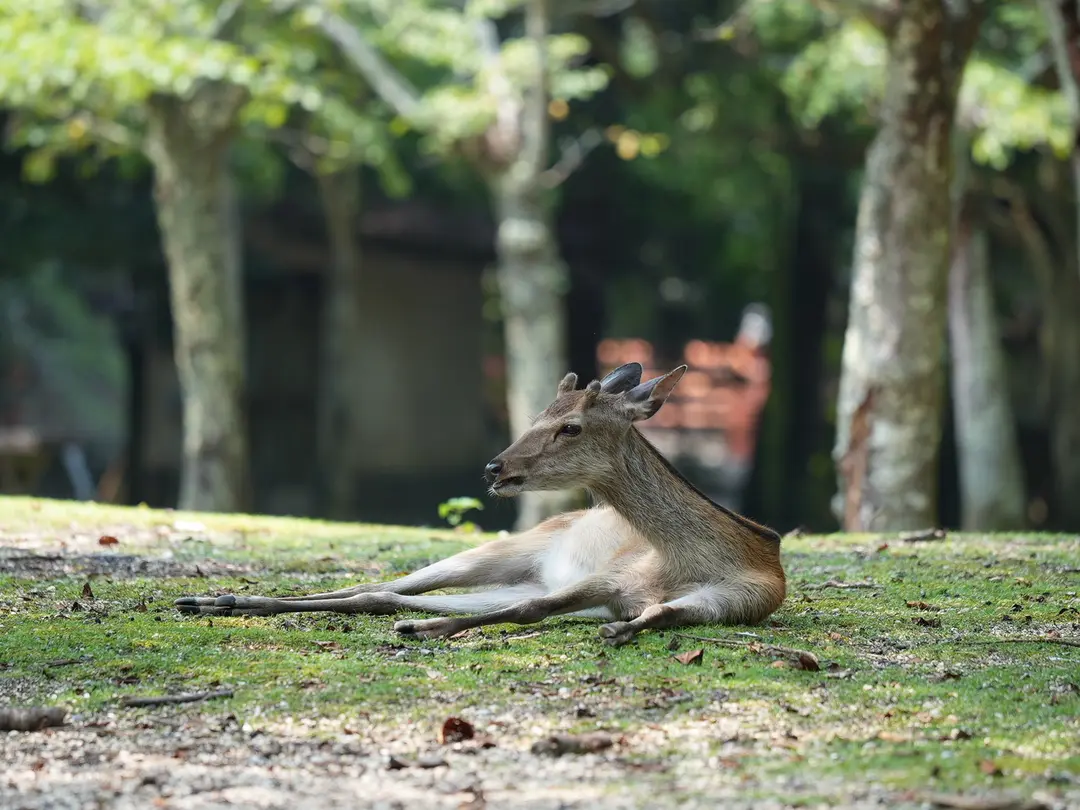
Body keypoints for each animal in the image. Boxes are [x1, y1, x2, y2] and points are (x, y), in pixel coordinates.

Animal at [174, 362, 787, 646]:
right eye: (536, 416)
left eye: (570, 426)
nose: (495, 468)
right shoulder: (613, 576)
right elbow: (533, 610)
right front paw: (427, 631)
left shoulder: (733, 602)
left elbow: (651, 613)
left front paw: (622, 630)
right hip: (503, 550)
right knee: (384, 584)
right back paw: (210, 599)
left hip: (512, 574)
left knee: (384, 595)